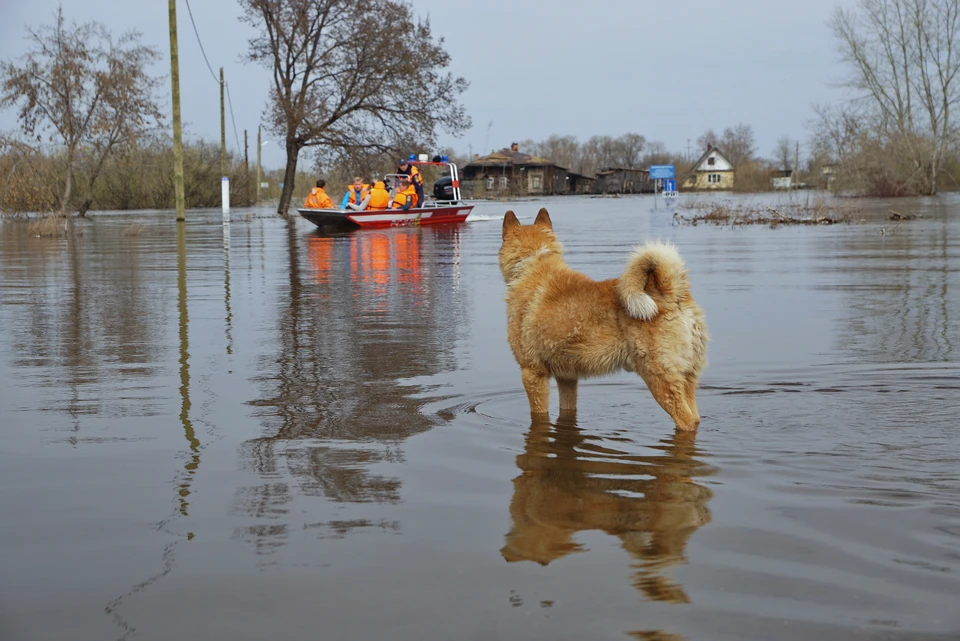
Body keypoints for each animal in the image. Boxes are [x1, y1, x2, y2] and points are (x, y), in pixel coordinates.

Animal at [498, 209, 708, 430]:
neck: (531, 263)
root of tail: (671, 293)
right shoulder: (567, 377)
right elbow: (567, 407)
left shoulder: (532, 373)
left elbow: (539, 415)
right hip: (687, 379)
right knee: (695, 417)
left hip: (660, 379)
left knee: (686, 421)